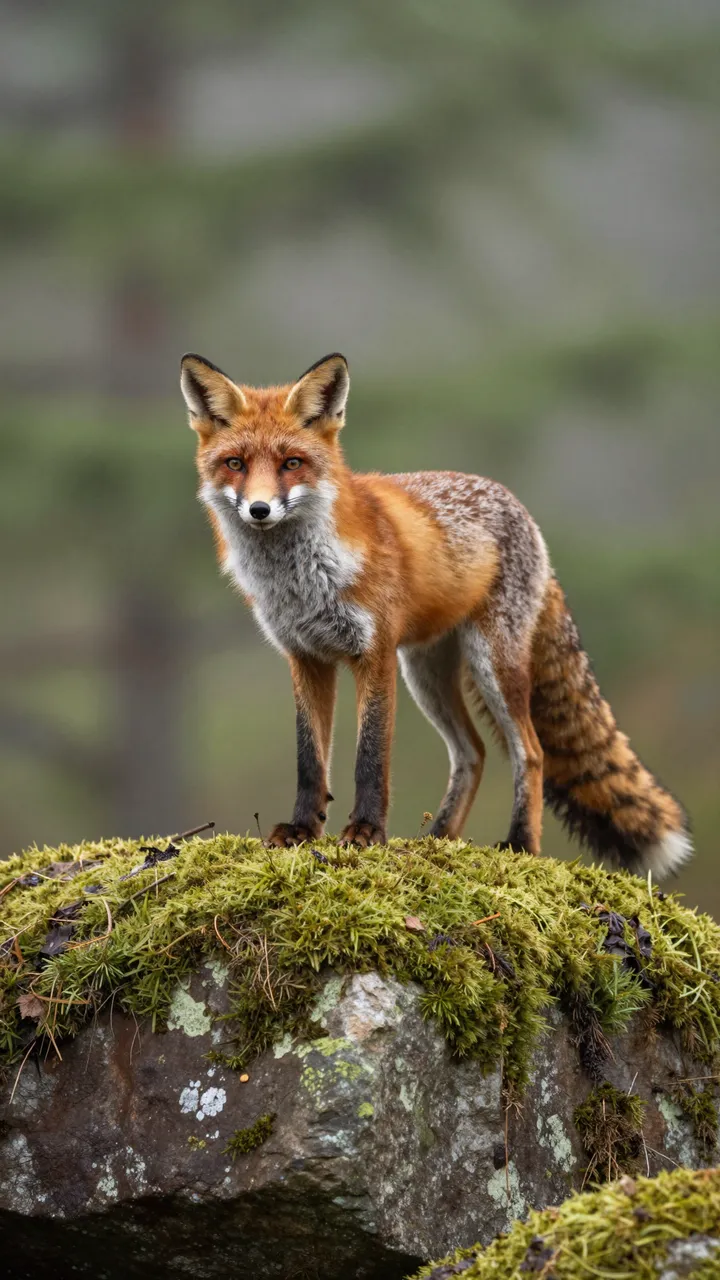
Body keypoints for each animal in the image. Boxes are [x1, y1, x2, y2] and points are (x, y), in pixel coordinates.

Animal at [180, 350, 692, 875]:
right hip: (426, 675)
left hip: (491, 666)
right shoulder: (306, 658)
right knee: (474, 753)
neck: (301, 583)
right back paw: (439, 839)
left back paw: (520, 844)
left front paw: (366, 833)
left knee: (530, 752)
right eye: (235, 464)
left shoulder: (374, 654)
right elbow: (310, 761)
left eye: (291, 463)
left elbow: (370, 758)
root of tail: (524, 513)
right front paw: (303, 830)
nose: (259, 510)